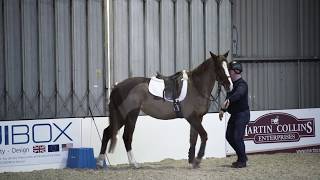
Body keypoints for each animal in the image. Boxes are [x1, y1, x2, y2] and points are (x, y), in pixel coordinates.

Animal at [96, 51, 234, 169]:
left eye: (228, 66)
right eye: (219, 67)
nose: (230, 85)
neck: (196, 87)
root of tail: (117, 86)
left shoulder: (198, 118)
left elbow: (193, 138)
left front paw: (192, 161)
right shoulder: (192, 117)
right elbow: (204, 135)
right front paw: (198, 159)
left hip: (121, 116)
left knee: (107, 132)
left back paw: (100, 162)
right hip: (129, 115)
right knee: (127, 137)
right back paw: (134, 163)